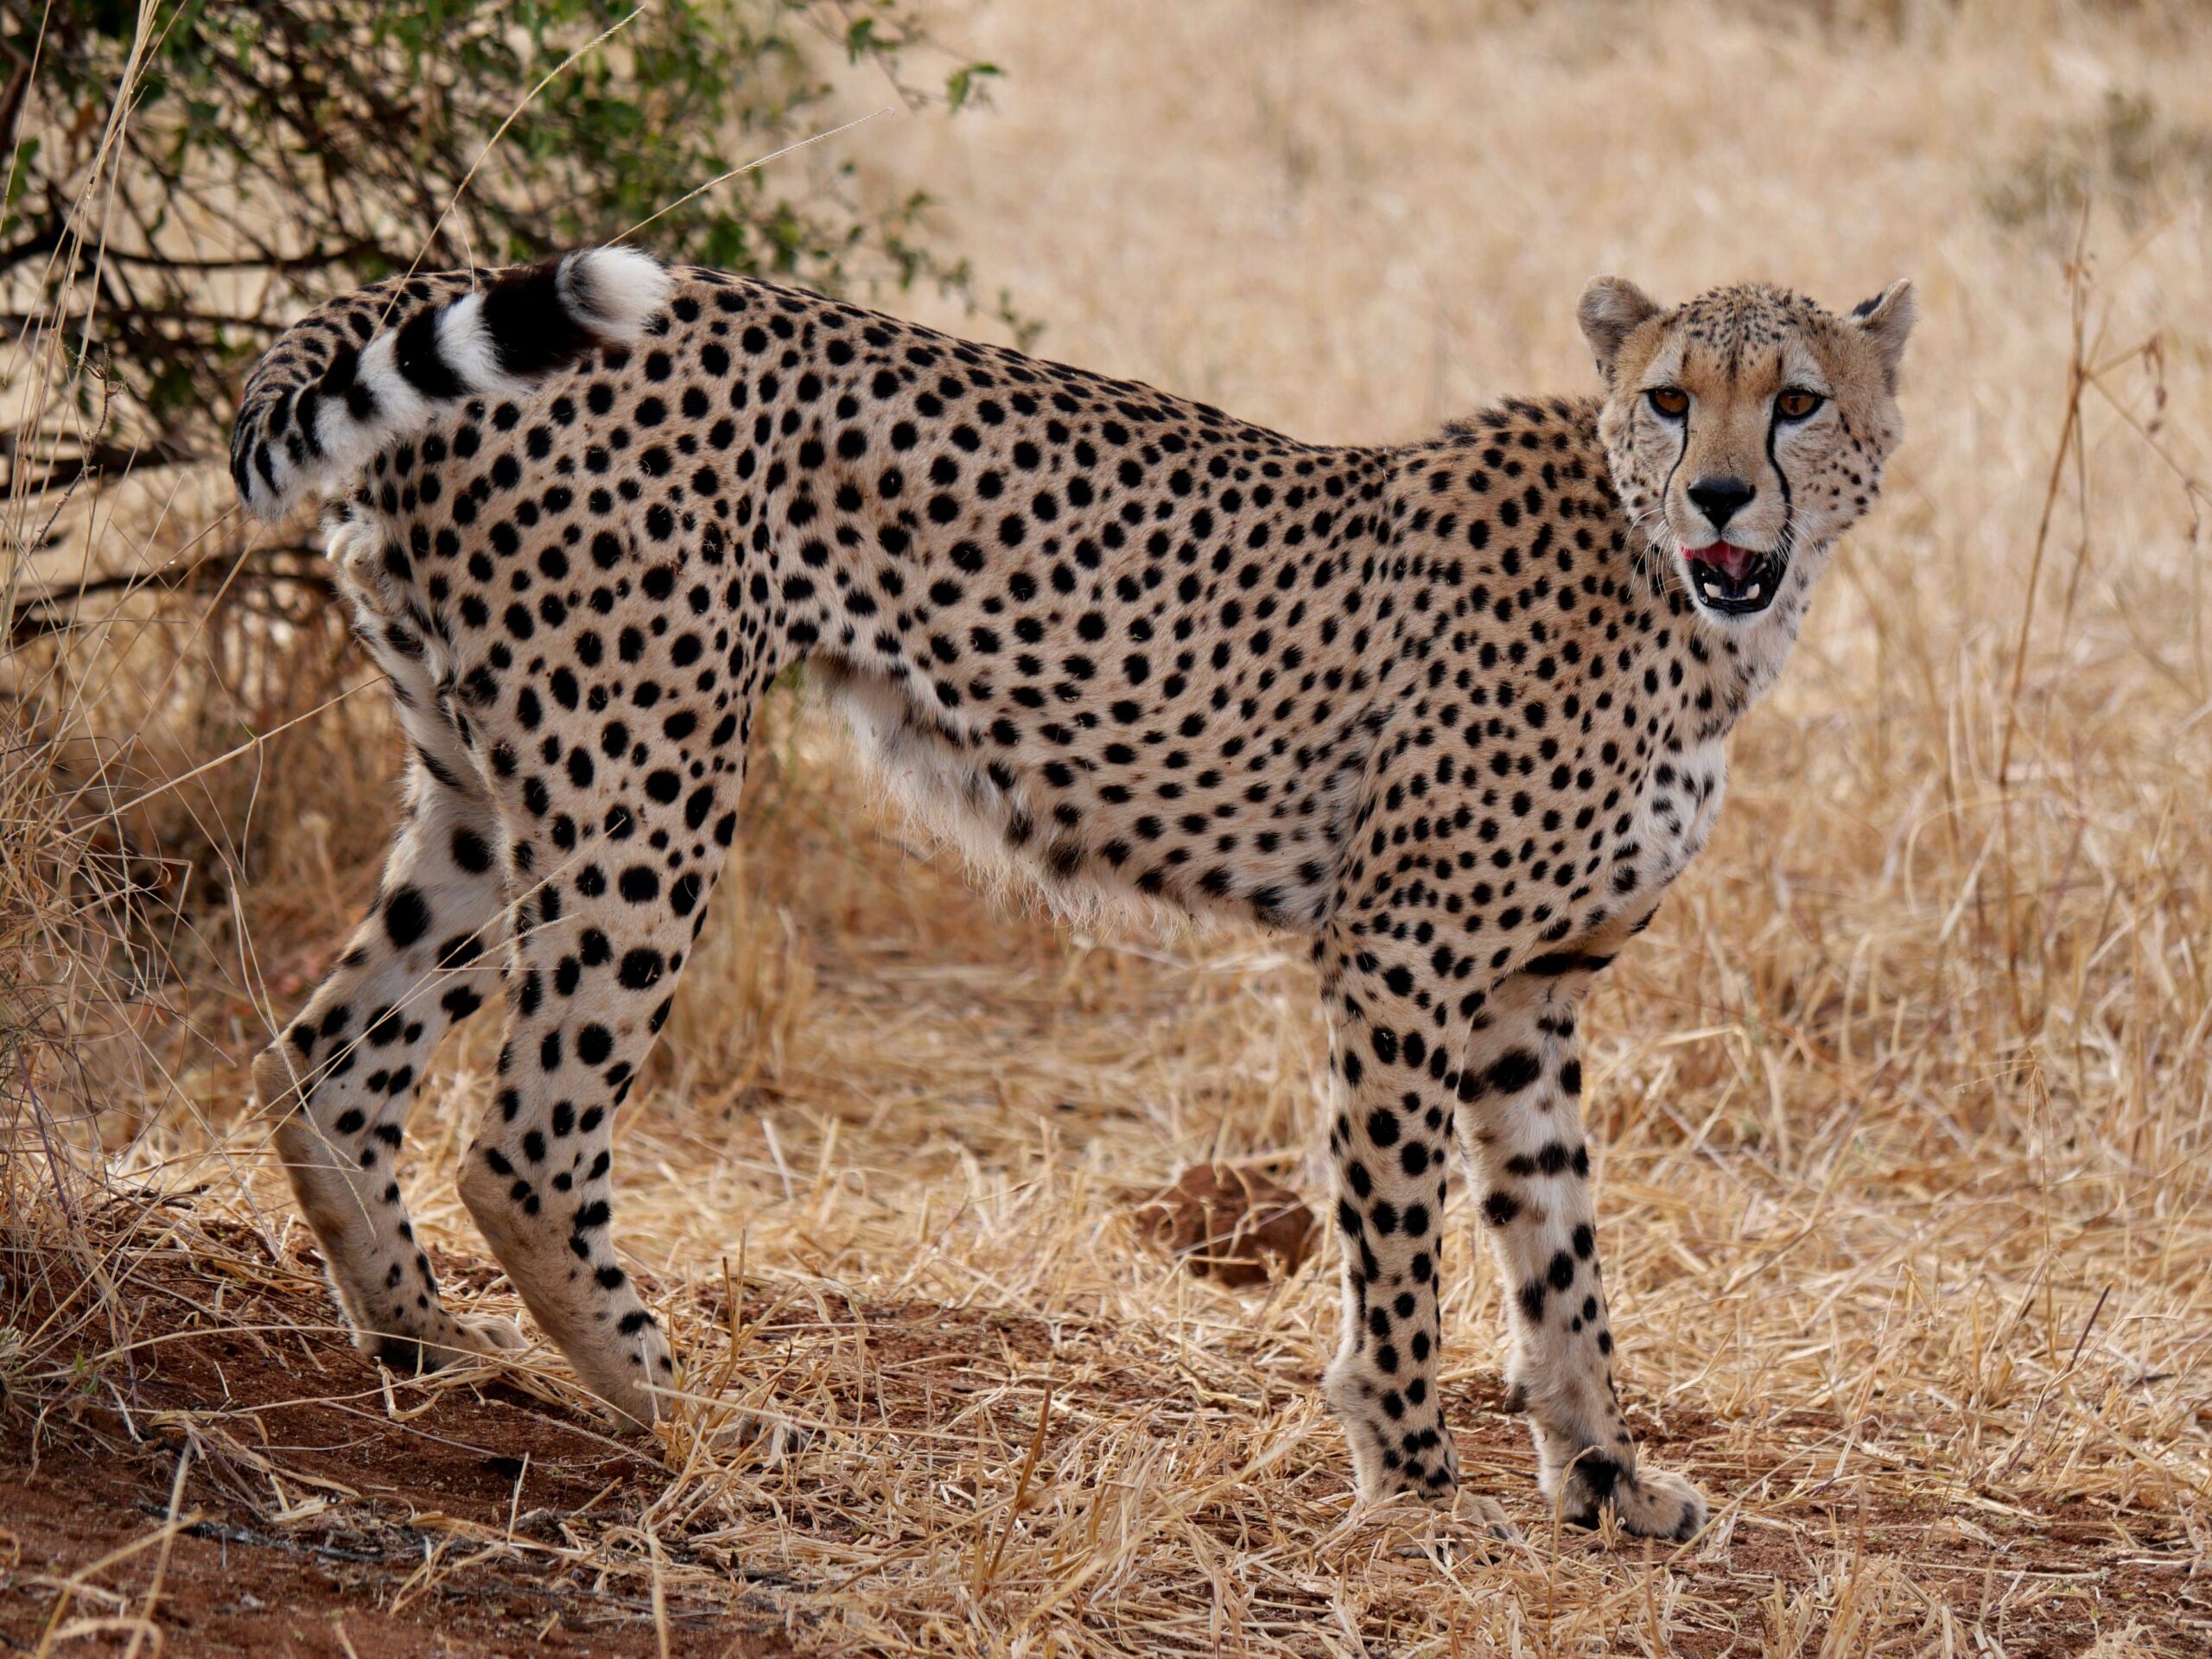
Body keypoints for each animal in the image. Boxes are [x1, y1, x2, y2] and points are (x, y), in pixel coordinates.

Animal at [231, 245, 1913, 1540]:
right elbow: (1399, 1236)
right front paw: (1415, 1481)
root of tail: (423, 275)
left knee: (326, 1060)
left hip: (485, 791)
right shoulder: (1402, 953)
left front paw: (1611, 1483)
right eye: (1670, 399)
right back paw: (701, 1411)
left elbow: (1561, 1256)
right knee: (523, 1140)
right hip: (640, 782)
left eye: (1798, 403)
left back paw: (432, 1348)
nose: (1720, 499)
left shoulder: (1529, 992)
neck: (1686, 604)